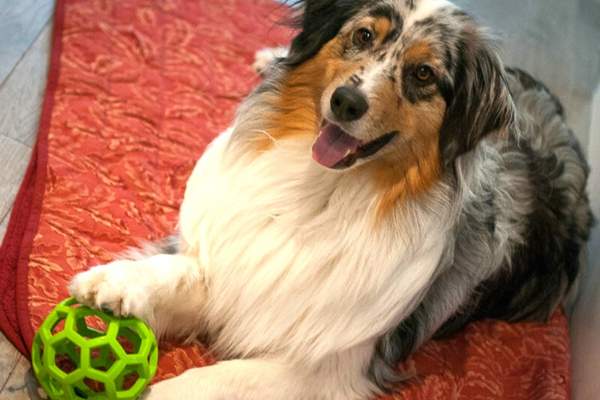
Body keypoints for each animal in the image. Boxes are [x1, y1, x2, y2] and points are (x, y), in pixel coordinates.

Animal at [68, 0, 592, 400]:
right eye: (362, 35)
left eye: (424, 74)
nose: (345, 101)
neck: (320, 190)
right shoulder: (242, 271)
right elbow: (180, 273)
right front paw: (116, 282)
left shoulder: (333, 369)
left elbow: (216, 379)